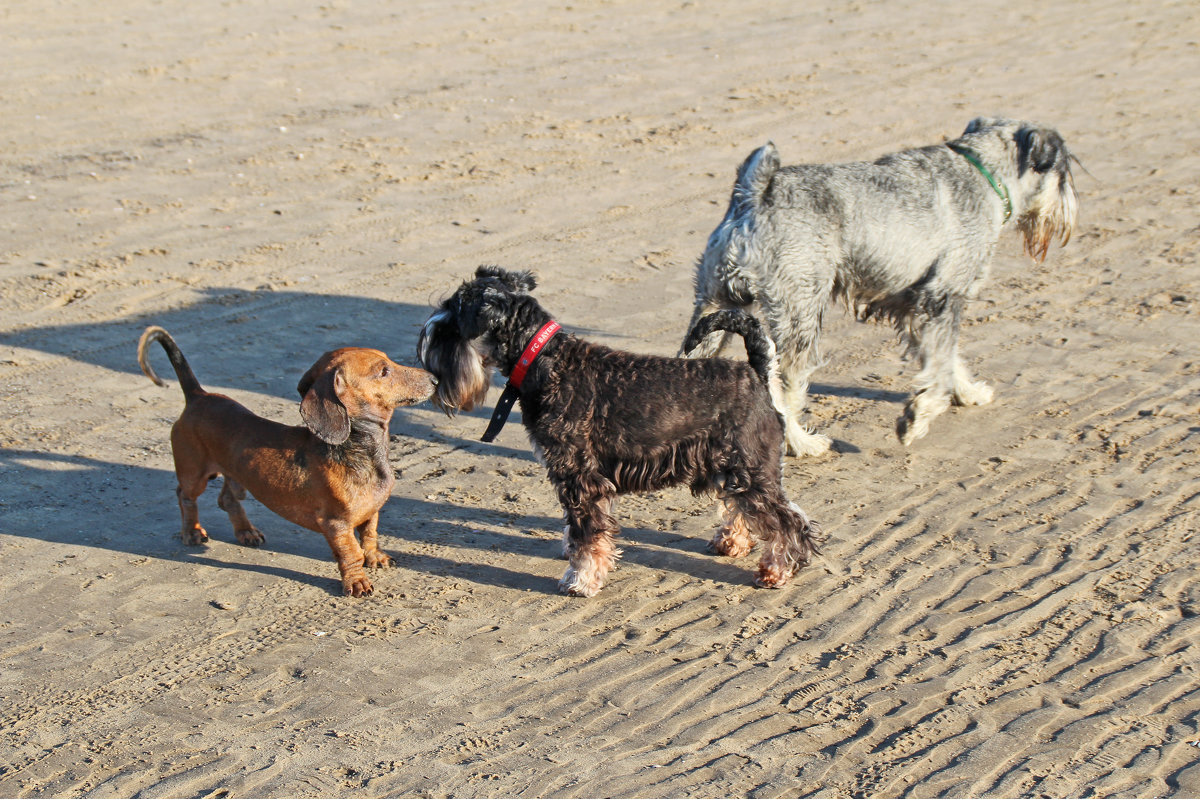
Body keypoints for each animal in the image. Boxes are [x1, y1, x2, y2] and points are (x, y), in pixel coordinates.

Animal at [417, 263, 820, 595]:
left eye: (450, 326)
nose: (430, 371)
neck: (545, 359)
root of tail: (755, 372)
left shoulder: (579, 477)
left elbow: (587, 533)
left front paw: (580, 580)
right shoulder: (580, 479)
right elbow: (581, 528)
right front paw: (572, 554)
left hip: (749, 467)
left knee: (790, 522)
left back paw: (777, 571)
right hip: (730, 469)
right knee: (743, 508)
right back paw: (731, 543)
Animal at [681, 118, 1084, 453]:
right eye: (1065, 172)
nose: (1070, 216)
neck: (985, 174)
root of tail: (751, 196)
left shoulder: (920, 305)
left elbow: (949, 358)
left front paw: (968, 392)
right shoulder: (942, 297)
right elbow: (939, 367)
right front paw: (917, 419)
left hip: (712, 308)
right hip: (800, 313)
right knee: (783, 387)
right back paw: (802, 443)